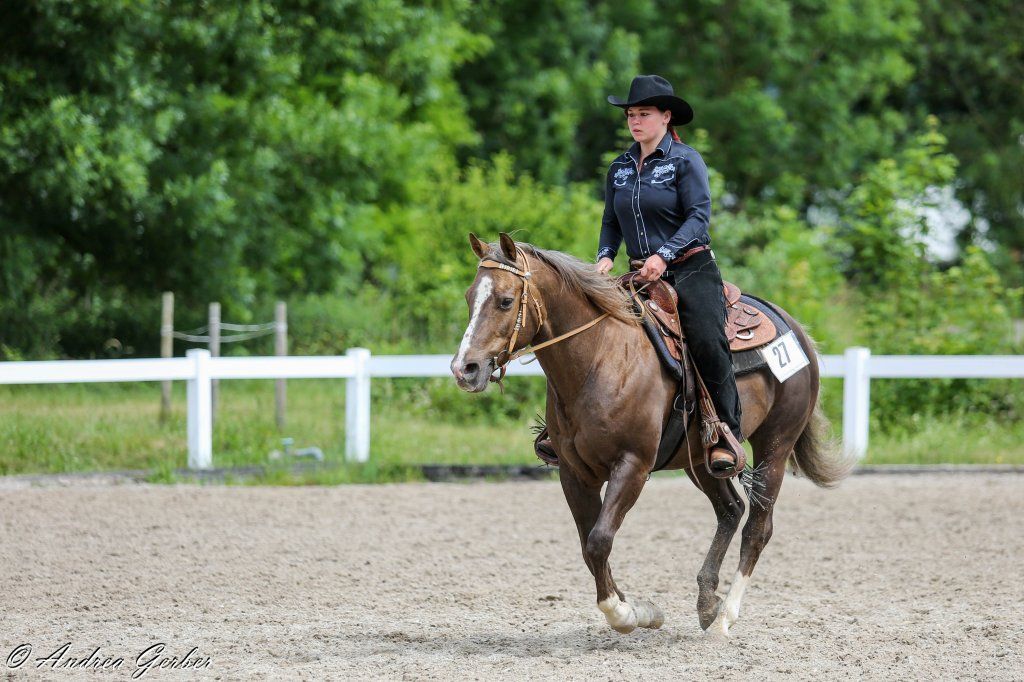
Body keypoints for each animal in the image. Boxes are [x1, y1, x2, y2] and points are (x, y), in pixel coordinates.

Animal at [451, 233, 851, 637]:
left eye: (505, 300)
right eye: (470, 297)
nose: (464, 368)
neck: (601, 356)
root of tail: (791, 325)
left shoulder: (632, 466)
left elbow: (599, 540)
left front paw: (627, 614)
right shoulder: (574, 472)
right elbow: (589, 545)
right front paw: (638, 607)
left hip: (775, 448)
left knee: (757, 528)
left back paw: (725, 618)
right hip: (701, 462)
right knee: (730, 511)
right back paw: (707, 603)